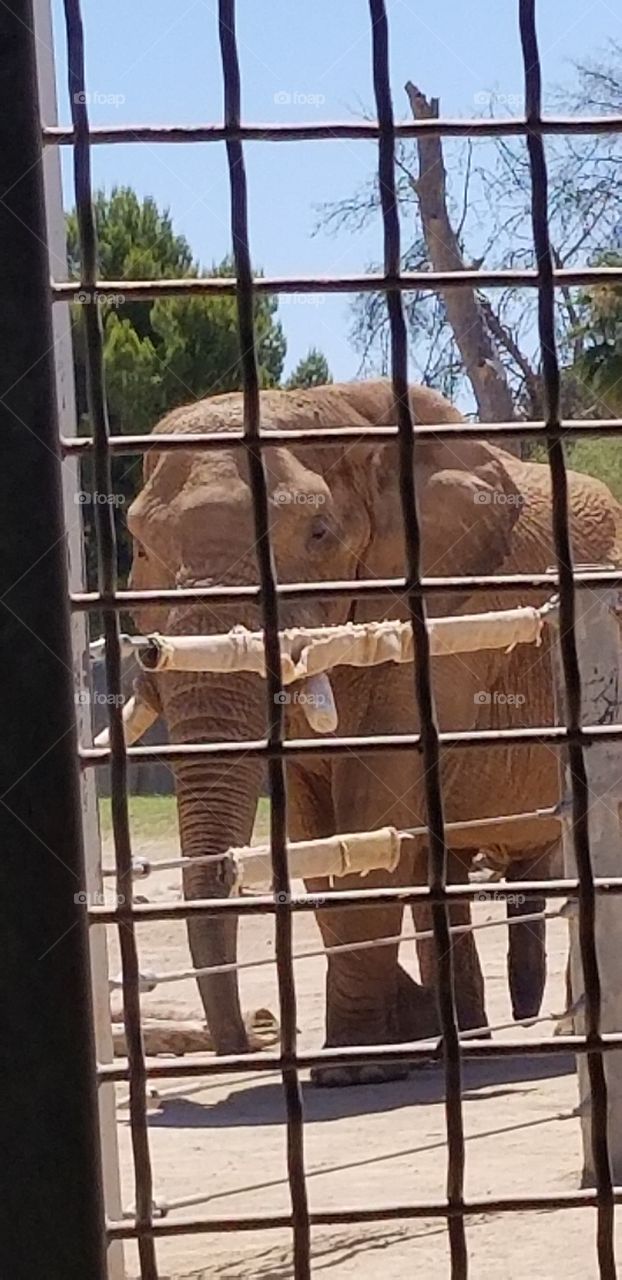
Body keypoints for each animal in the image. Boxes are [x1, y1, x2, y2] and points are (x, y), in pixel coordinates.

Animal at [126, 379, 622, 1085]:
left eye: (319, 533)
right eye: (140, 547)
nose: (253, 1037)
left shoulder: (443, 618)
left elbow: (370, 805)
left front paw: (354, 1070)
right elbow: (315, 832)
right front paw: (371, 1053)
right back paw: (469, 1034)